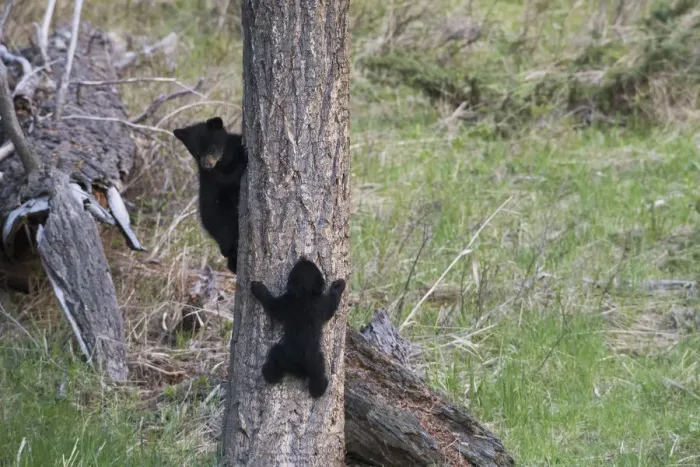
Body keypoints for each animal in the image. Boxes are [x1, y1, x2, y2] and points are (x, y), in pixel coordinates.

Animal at [172, 117, 247, 274]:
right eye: (196, 153)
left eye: (211, 149)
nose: (206, 165)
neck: (224, 159)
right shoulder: (213, 177)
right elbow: (228, 179)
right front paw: (243, 158)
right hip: (223, 220)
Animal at [250, 257, 346, 398]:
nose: (303, 257)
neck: (305, 295)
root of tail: (299, 368)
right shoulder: (317, 304)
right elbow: (331, 305)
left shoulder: (287, 302)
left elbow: (271, 305)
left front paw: (258, 288)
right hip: (307, 359)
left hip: (290, 355)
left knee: (275, 356)